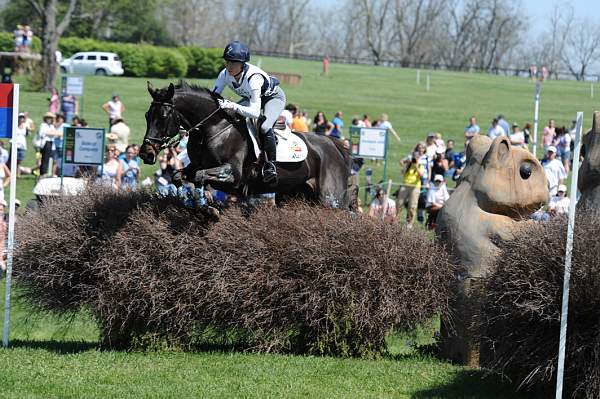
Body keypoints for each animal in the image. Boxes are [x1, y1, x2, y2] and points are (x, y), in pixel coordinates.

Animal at [139, 79, 352, 208]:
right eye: (147, 115)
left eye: (163, 116)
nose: (145, 153)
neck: (214, 128)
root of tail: (333, 144)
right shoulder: (195, 166)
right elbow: (179, 175)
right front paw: (191, 201)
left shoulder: (233, 174)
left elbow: (200, 177)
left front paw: (204, 204)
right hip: (292, 195)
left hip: (330, 198)